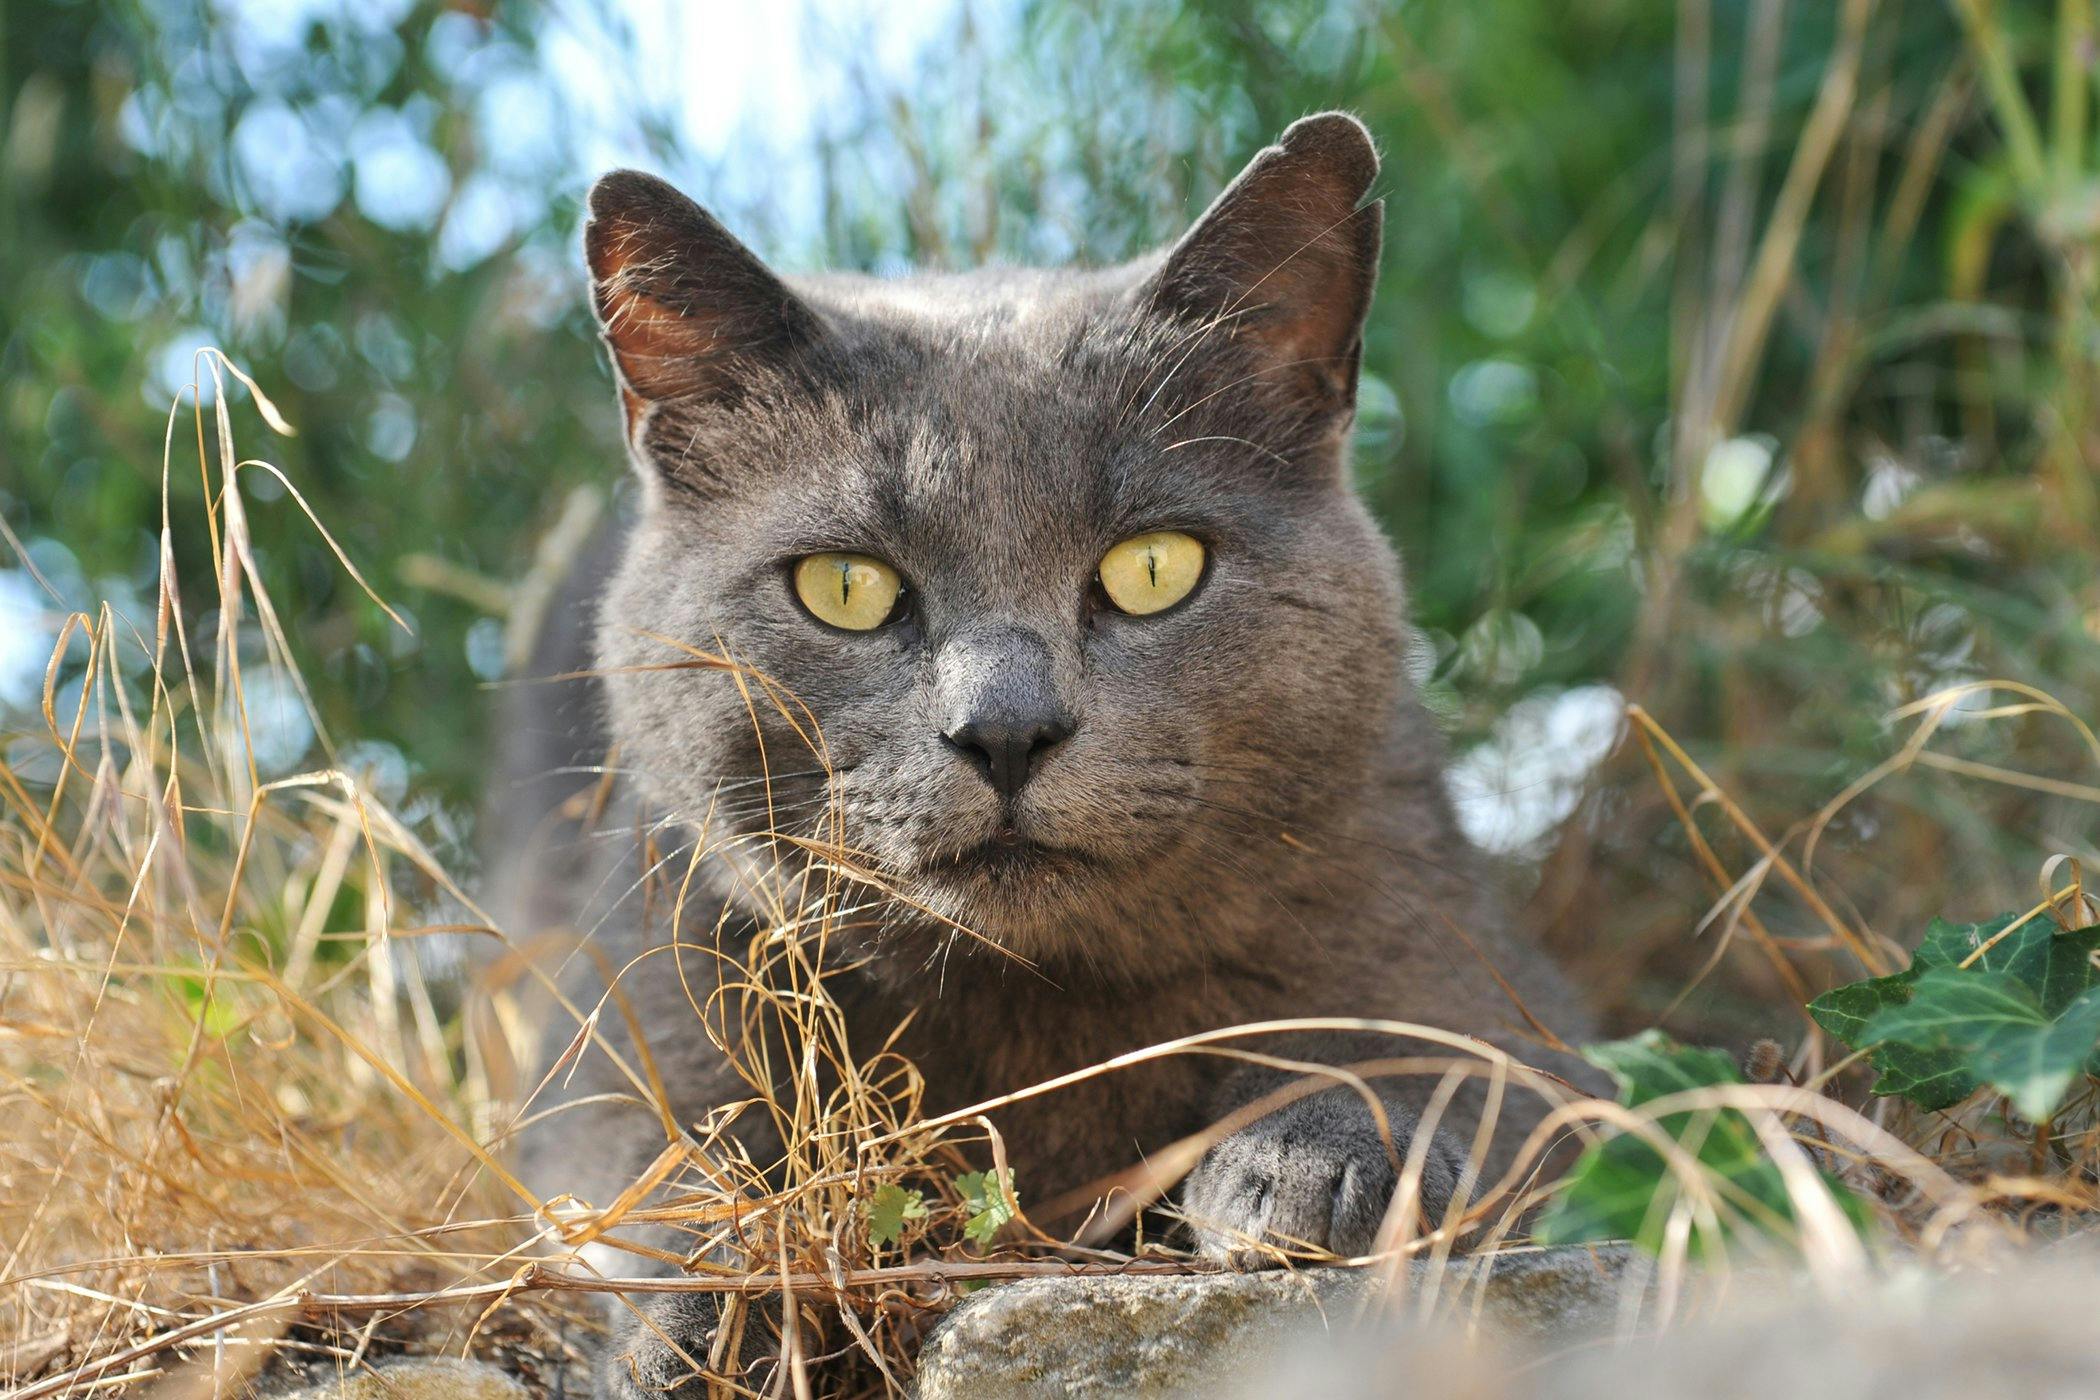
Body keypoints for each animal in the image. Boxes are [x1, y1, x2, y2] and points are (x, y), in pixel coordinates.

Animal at [491, 114, 1595, 1393]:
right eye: (844, 587)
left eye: (1155, 567)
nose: (1006, 727)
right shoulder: (635, 1001)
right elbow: (662, 1175)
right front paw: (710, 1319)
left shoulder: (1484, 970)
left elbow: (1454, 1061)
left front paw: (1314, 1162)